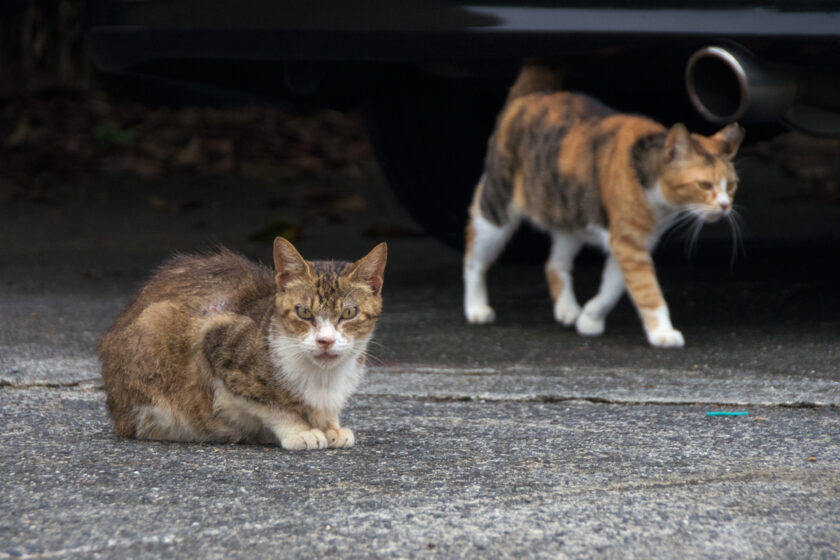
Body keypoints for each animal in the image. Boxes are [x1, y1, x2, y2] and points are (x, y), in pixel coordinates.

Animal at [101, 238, 388, 448]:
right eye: (304, 312)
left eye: (349, 313)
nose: (325, 340)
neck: (323, 378)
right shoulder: (216, 341)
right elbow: (268, 405)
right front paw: (299, 430)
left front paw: (330, 425)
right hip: (156, 321)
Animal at [462, 64, 744, 346]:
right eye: (704, 185)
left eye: (731, 185)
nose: (725, 205)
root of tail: (533, 94)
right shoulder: (628, 244)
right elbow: (647, 290)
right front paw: (662, 333)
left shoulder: (631, 243)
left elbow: (613, 287)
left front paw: (590, 317)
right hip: (497, 210)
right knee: (474, 257)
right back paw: (476, 308)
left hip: (571, 217)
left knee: (554, 264)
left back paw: (567, 309)